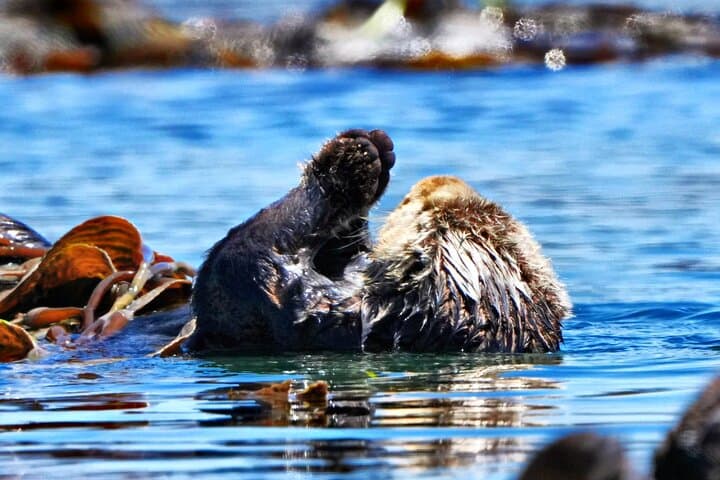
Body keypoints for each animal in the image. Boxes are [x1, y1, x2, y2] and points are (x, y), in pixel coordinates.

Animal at [189, 129, 570, 353]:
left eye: (427, 212)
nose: (441, 180)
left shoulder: (289, 309)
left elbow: (244, 255)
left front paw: (354, 158)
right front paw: (373, 147)